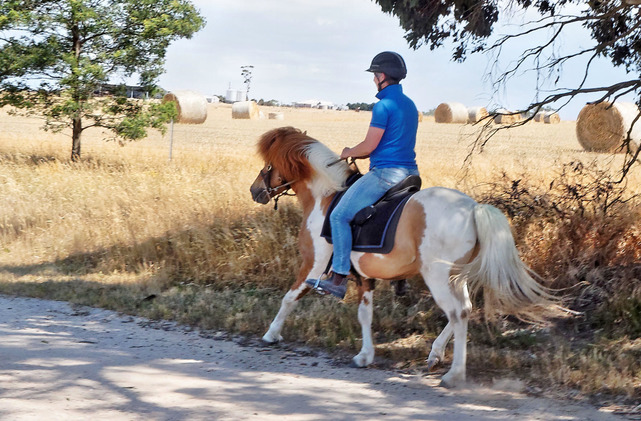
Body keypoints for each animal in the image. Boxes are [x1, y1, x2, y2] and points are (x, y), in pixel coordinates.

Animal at [248, 125, 556, 388]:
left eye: (268, 163)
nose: (254, 190)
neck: (327, 196)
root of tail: (472, 208)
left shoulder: (313, 266)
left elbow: (289, 298)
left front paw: (271, 334)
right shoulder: (364, 277)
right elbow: (365, 314)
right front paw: (365, 355)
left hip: (437, 277)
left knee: (456, 313)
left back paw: (454, 374)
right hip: (456, 277)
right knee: (465, 310)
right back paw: (435, 354)